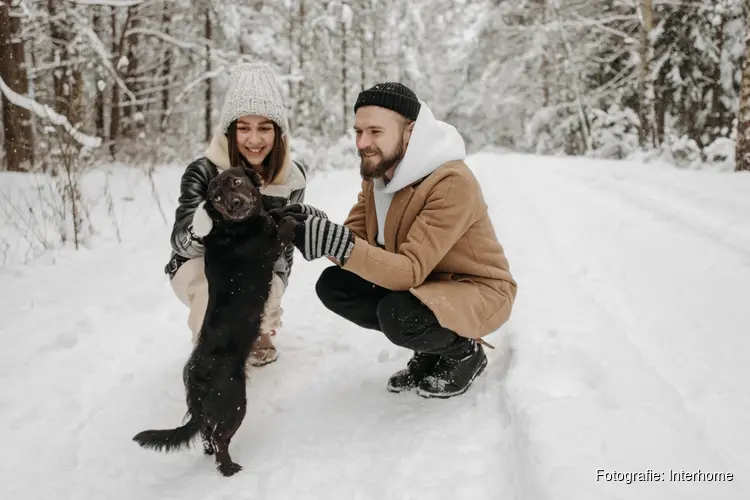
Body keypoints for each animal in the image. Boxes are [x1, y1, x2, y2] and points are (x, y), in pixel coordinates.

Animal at [134, 165, 298, 476]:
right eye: (217, 197)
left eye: (236, 181)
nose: (234, 204)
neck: (234, 228)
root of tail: (196, 381)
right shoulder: (270, 247)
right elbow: (282, 226)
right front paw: (289, 217)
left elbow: (275, 214)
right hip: (234, 403)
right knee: (221, 438)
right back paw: (229, 468)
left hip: (215, 412)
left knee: (207, 435)